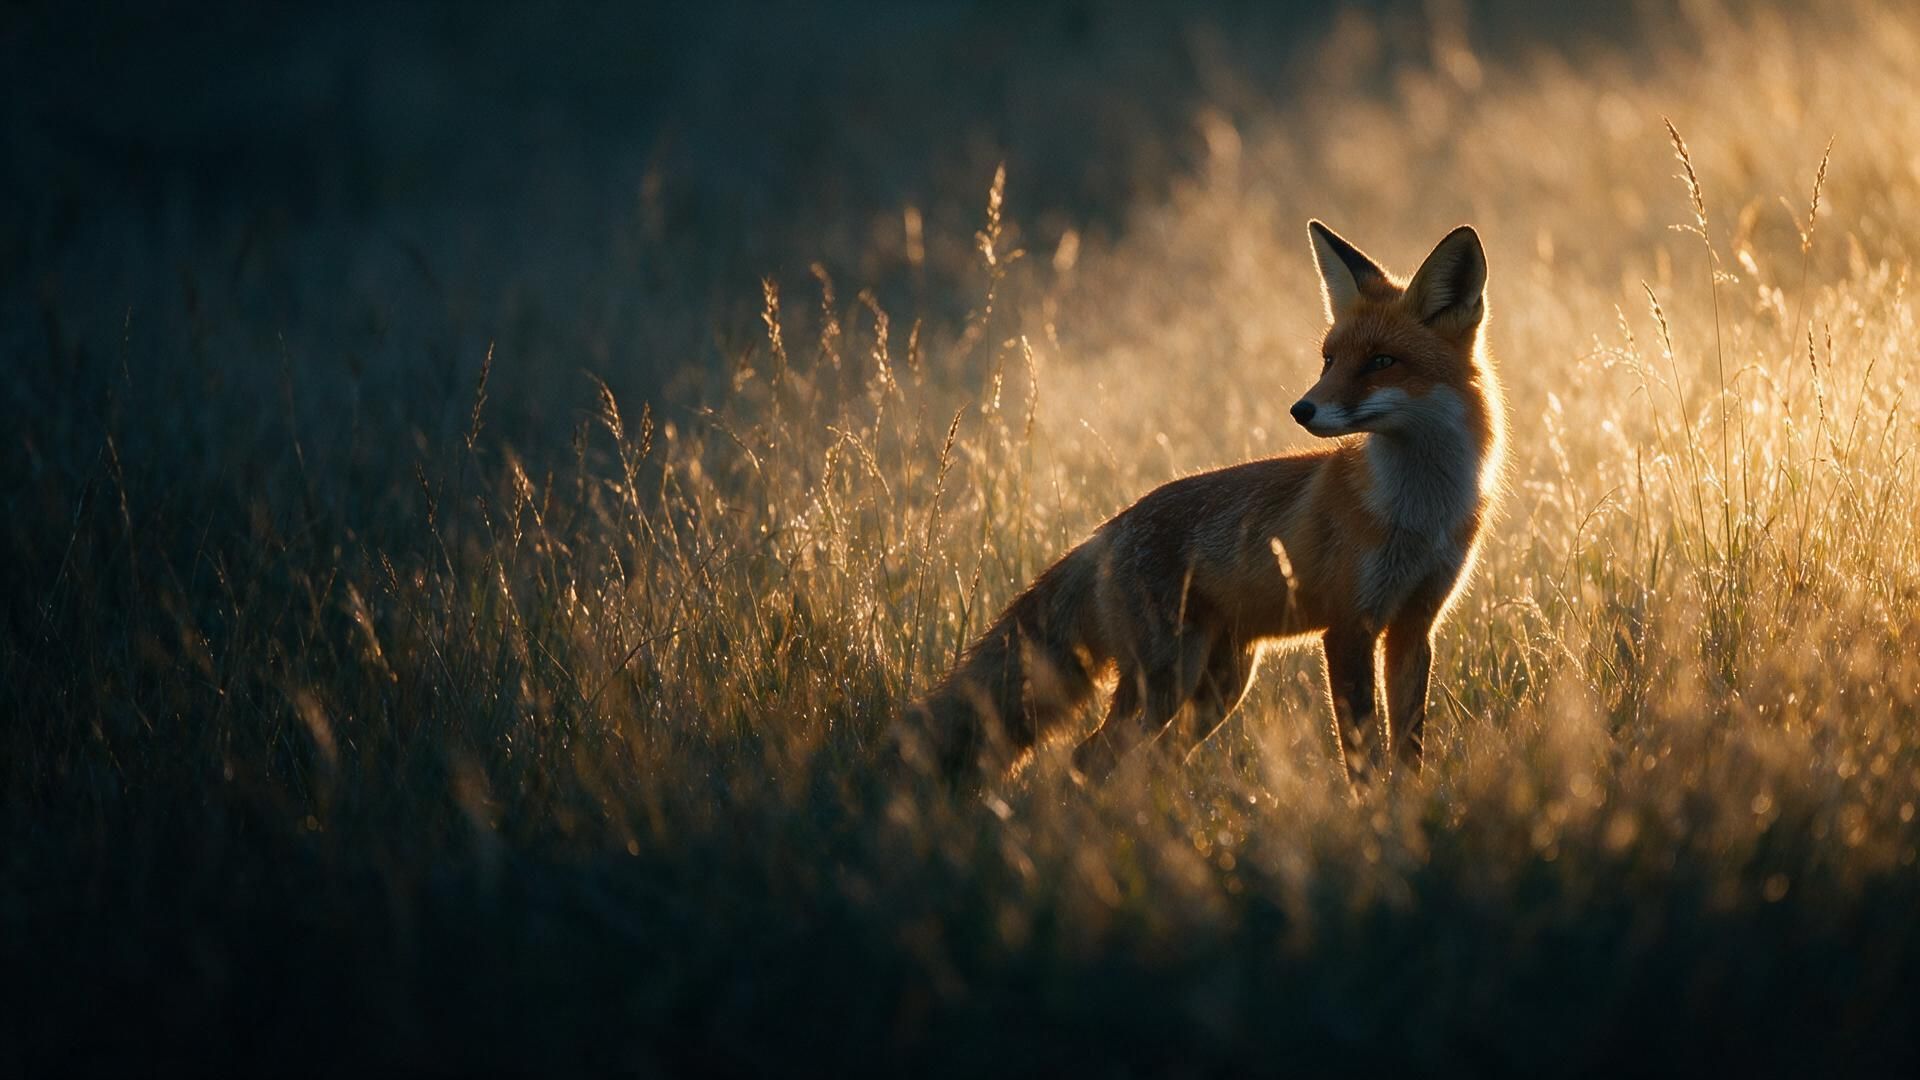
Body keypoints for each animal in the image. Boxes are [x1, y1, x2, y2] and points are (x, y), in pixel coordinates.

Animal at [900, 221, 1503, 789]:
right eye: (1329, 360)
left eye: (1381, 361)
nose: (1301, 409)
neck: (1418, 513)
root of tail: (1107, 529)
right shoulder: (1348, 627)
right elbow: (1364, 760)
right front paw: (1375, 819)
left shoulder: (1413, 627)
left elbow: (1408, 754)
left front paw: (1405, 810)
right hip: (1167, 678)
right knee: (1089, 756)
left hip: (1219, 686)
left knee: (1154, 757)